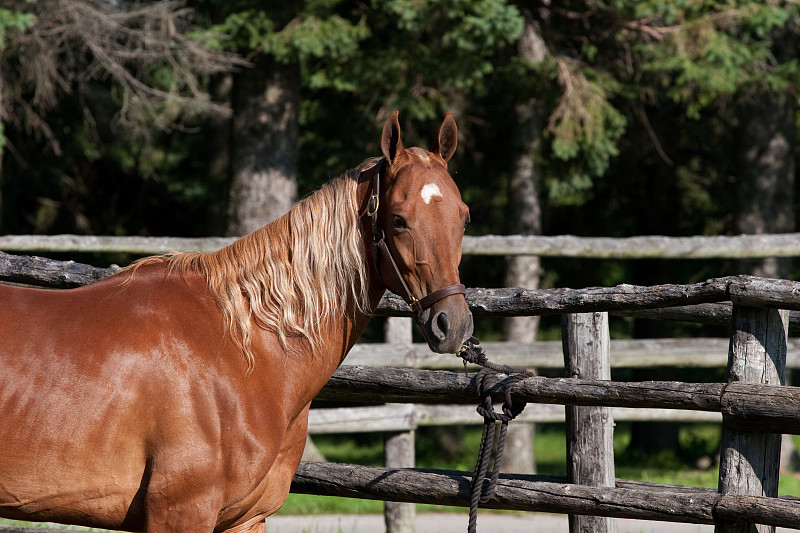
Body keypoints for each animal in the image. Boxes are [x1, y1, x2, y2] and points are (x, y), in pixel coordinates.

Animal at [0, 110, 472, 528]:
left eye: (464, 216)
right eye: (398, 219)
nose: (453, 324)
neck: (242, 347)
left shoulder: (247, 519)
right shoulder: (181, 513)